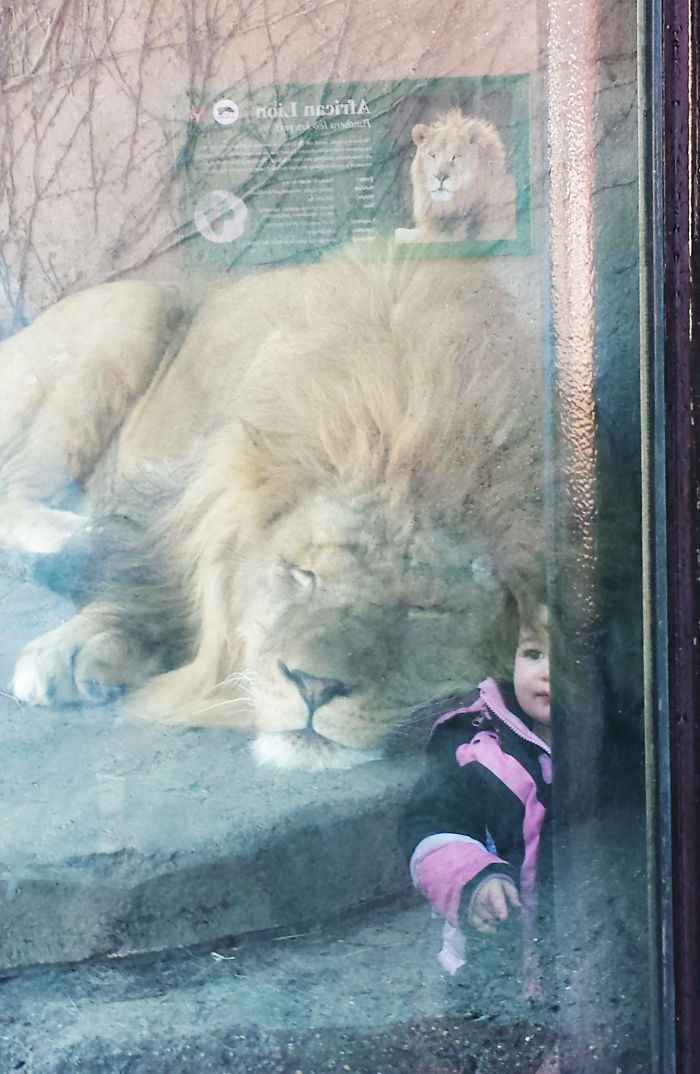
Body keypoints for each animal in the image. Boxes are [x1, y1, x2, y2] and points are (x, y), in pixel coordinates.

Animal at [0, 252, 543, 770]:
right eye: (302, 574)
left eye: (425, 609)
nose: (315, 686)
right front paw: (73, 643)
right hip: (129, 316)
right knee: (14, 487)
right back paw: (77, 540)